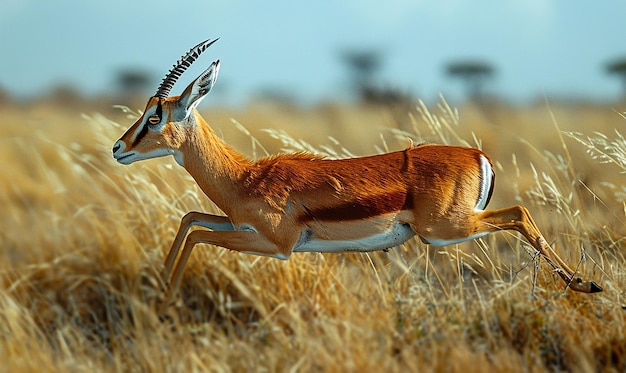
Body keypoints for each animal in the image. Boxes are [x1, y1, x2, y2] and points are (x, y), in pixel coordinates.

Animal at [111, 38, 600, 310]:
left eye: (154, 116)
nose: (118, 148)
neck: (244, 178)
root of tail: (478, 155)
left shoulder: (275, 245)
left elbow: (196, 232)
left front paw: (162, 303)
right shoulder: (239, 224)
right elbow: (190, 219)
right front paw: (156, 293)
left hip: (445, 230)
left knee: (518, 213)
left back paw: (585, 283)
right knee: (520, 214)